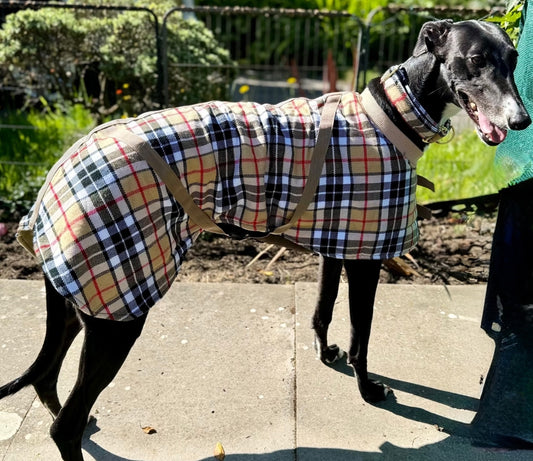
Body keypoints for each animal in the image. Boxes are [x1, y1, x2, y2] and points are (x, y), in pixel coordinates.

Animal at [1, 18, 528, 460]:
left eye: (514, 58)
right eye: (476, 60)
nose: (520, 120)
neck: (393, 113)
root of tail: (57, 174)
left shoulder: (339, 242)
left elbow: (322, 310)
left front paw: (325, 355)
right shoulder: (367, 256)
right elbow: (361, 334)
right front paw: (368, 391)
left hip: (79, 302)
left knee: (46, 379)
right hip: (118, 309)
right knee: (63, 427)